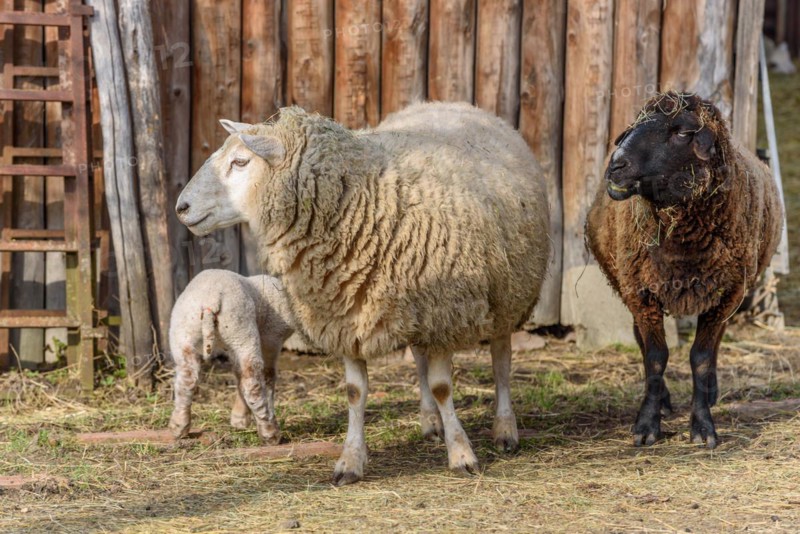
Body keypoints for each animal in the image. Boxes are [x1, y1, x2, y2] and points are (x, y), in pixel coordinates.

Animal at [168, 270, 296, 445]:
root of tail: (210, 300)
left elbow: (238, 374)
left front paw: (239, 419)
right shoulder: (272, 337)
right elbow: (267, 376)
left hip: (183, 332)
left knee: (186, 380)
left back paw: (179, 427)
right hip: (241, 330)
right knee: (253, 383)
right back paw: (270, 433)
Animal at [586, 92, 783, 449]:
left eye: (680, 133)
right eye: (636, 124)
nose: (616, 166)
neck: (683, 245)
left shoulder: (726, 294)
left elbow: (701, 358)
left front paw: (703, 425)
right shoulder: (641, 292)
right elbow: (655, 356)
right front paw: (647, 424)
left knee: (717, 340)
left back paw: (711, 392)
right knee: (640, 338)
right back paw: (664, 399)